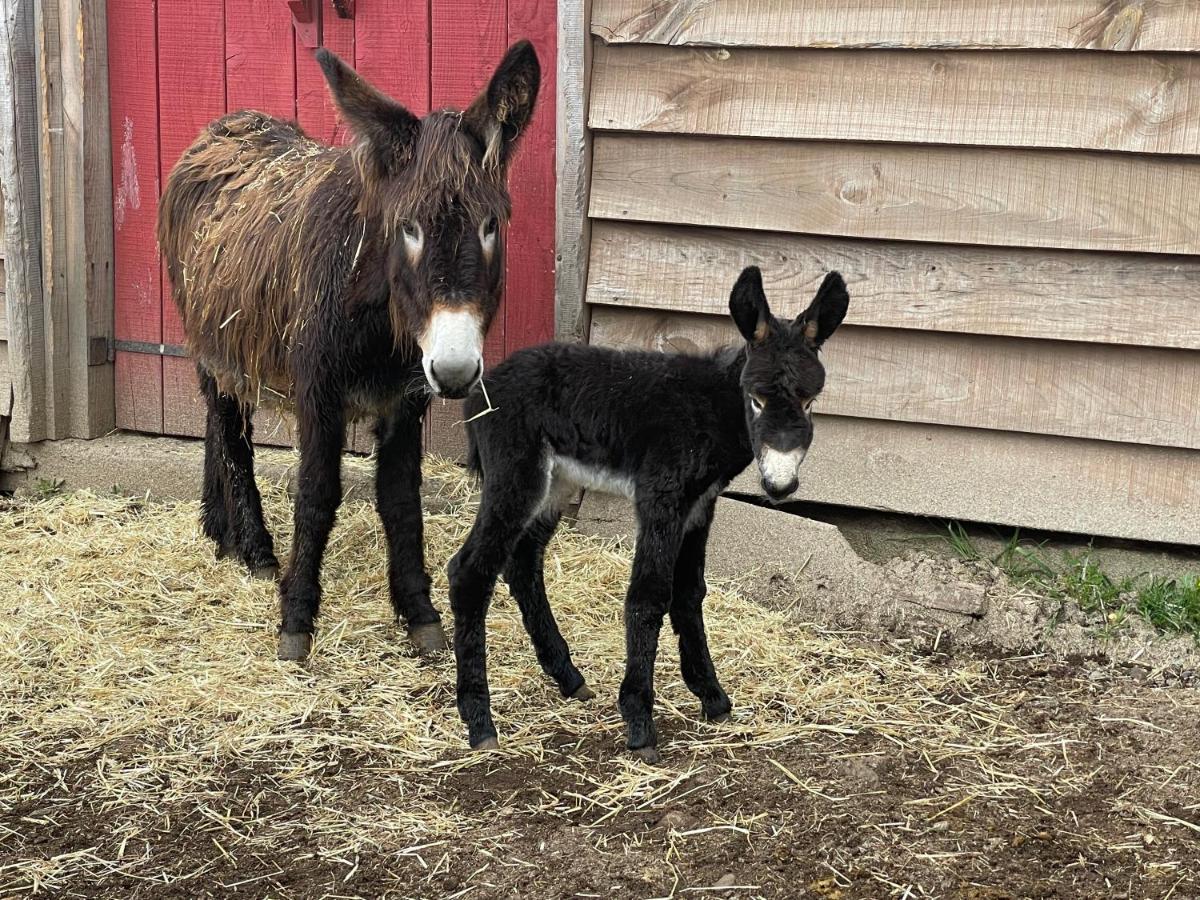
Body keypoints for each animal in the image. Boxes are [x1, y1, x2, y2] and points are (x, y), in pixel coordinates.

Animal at [446, 267, 849, 763]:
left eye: (811, 401)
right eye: (755, 398)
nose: (780, 485)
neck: (711, 409)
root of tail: (483, 388)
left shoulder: (700, 506)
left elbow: (690, 593)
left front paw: (712, 697)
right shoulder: (662, 497)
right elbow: (649, 596)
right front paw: (639, 722)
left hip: (556, 484)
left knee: (523, 563)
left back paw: (567, 676)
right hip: (516, 477)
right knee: (470, 571)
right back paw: (480, 721)